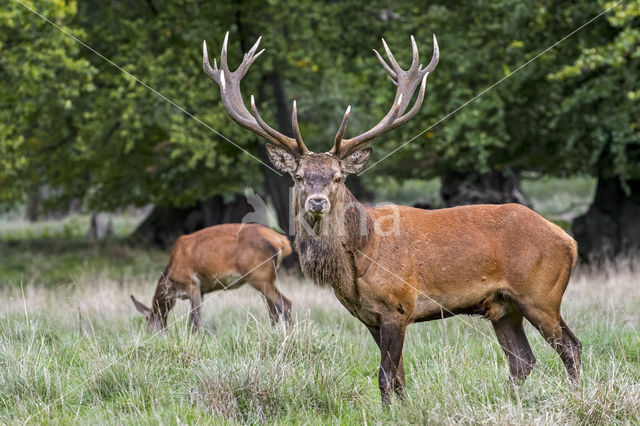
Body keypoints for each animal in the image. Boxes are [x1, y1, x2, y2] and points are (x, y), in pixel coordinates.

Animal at [132, 225, 292, 332]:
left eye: (149, 324)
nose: (156, 336)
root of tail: (282, 241)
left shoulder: (192, 283)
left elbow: (195, 320)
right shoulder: (201, 290)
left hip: (259, 275)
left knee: (286, 304)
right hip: (267, 277)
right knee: (273, 311)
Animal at [204, 32, 580, 402]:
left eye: (338, 177)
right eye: (298, 177)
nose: (317, 202)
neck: (359, 260)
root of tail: (569, 240)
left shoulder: (398, 306)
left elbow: (386, 378)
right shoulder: (369, 316)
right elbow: (397, 379)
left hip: (540, 295)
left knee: (570, 347)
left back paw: (576, 396)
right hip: (503, 306)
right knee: (522, 361)